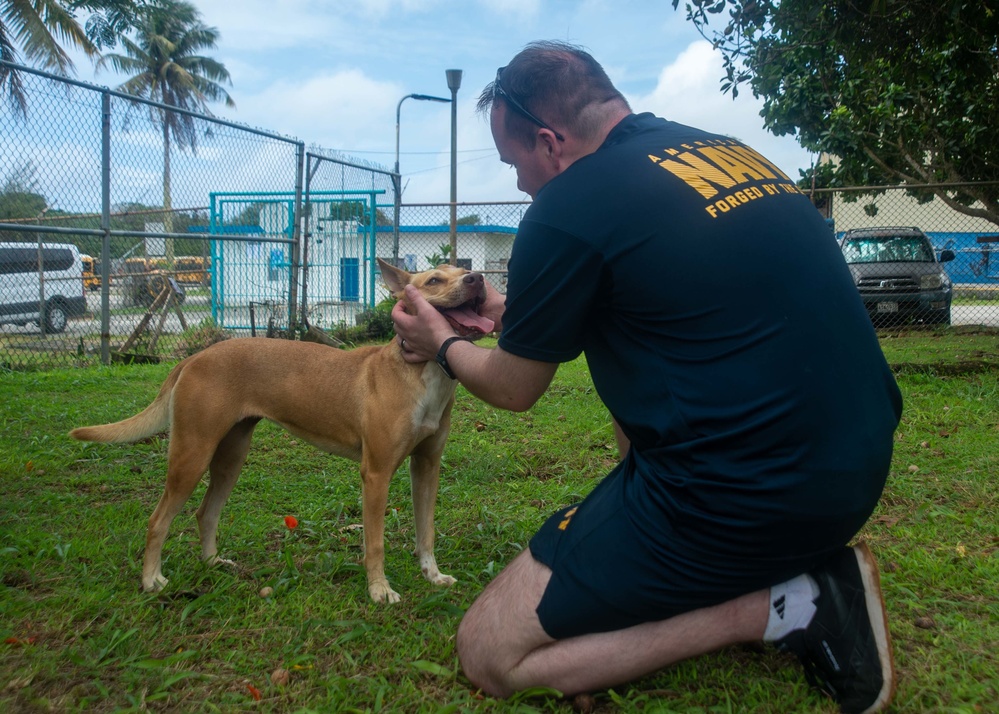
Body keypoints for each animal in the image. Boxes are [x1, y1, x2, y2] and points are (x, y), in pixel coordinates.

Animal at [67, 258, 496, 600]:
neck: (421, 372)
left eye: (464, 268)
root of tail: (193, 358)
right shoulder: (375, 475)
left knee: (206, 513)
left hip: (230, 457)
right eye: (434, 281)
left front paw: (433, 576)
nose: (477, 278)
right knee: (158, 521)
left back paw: (213, 563)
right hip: (191, 456)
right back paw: (151, 580)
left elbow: (426, 532)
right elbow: (374, 543)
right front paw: (379, 590)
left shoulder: (426, 467)